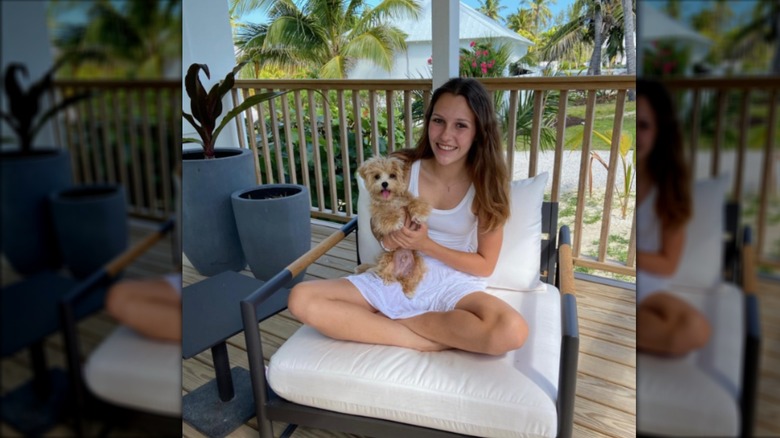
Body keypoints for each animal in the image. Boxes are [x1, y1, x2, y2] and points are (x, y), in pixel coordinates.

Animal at [356, 155, 430, 298]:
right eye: (377, 176)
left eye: (392, 175)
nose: (384, 183)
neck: (391, 200)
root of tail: (401, 272)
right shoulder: (378, 215)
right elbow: (386, 215)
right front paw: (396, 222)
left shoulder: (407, 199)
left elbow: (415, 202)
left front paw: (419, 214)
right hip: (387, 260)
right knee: (385, 273)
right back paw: (388, 280)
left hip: (418, 264)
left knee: (410, 279)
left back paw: (409, 290)